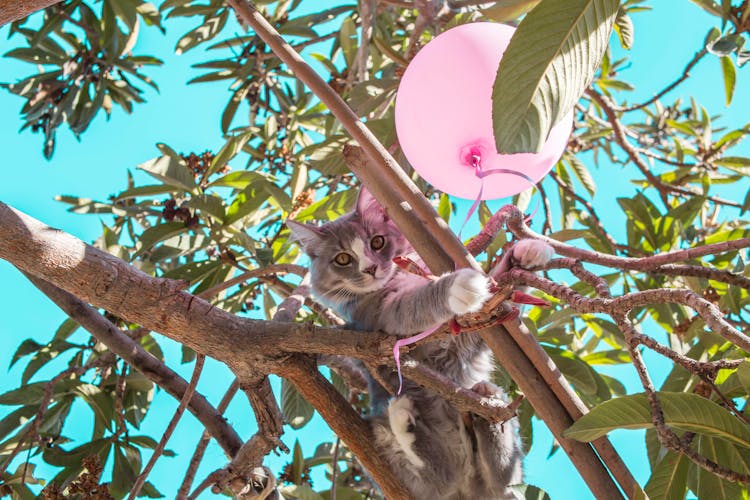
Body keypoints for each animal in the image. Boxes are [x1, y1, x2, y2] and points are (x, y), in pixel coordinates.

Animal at [288, 188, 552, 500]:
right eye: (343, 259)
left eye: (377, 242)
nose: (371, 267)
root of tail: (466, 489)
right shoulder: (386, 316)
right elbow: (423, 300)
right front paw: (457, 287)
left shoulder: (464, 340)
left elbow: (499, 290)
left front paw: (526, 254)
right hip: (385, 437)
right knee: (435, 477)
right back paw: (402, 419)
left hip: (502, 455)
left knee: (501, 475)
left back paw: (485, 410)